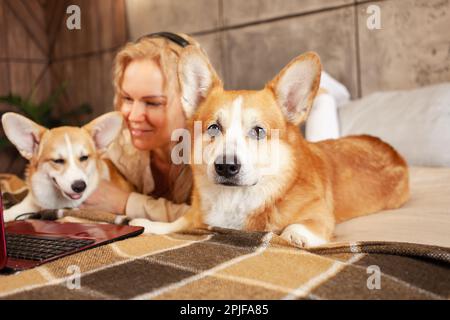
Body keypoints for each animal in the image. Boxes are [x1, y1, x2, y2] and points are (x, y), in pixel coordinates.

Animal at [128, 48, 410, 246]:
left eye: (258, 131)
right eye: (214, 128)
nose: (225, 166)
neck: (237, 198)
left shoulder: (320, 214)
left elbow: (297, 226)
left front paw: (296, 235)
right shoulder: (197, 216)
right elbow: (178, 221)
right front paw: (148, 224)